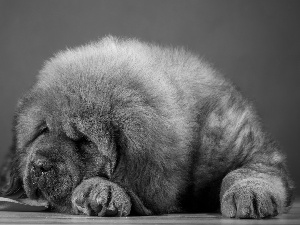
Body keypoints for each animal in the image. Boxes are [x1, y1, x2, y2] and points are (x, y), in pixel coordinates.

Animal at [0, 36, 294, 218]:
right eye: (43, 131)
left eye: (84, 141)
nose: (40, 166)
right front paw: (101, 190)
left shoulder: (252, 151)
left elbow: (246, 172)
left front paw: (250, 192)